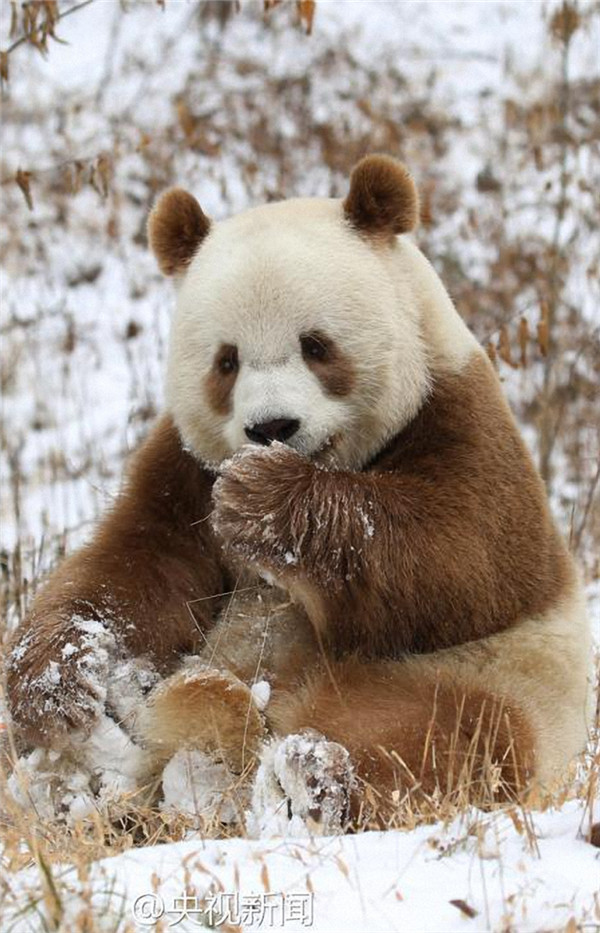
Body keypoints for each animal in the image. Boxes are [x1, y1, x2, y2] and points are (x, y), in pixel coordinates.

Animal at [5, 153, 596, 832]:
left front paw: (262, 500)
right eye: (226, 361)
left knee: (444, 738)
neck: (335, 462)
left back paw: (306, 776)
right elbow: (137, 569)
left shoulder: (459, 415)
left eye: (316, 346)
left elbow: (466, 558)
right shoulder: (183, 468)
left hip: (485, 678)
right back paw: (99, 780)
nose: (271, 428)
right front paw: (62, 681)